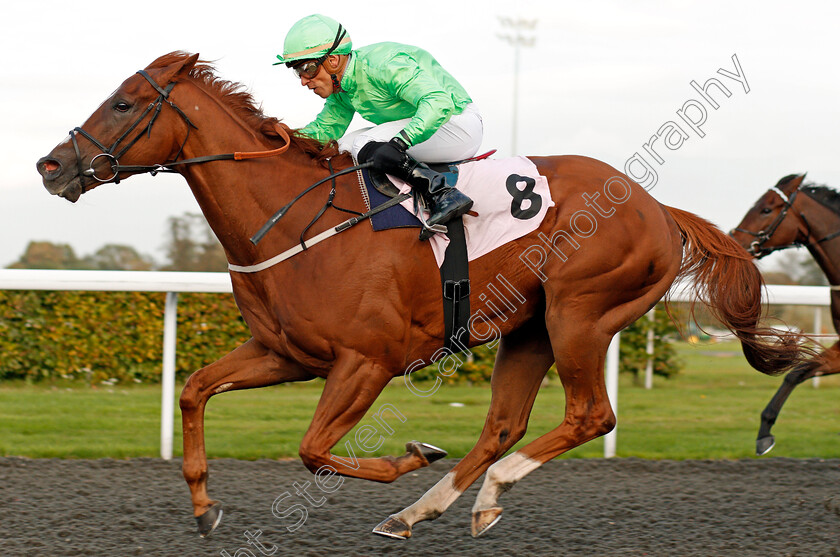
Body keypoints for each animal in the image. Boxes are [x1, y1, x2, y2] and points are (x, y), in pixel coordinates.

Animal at [37, 52, 808, 540]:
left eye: (125, 103)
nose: (50, 165)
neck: (294, 220)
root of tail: (659, 209)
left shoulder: (365, 361)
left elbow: (313, 449)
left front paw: (410, 455)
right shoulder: (284, 352)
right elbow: (196, 389)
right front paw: (203, 504)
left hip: (581, 313)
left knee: (591, 414)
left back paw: (483, 490)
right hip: (530, 327)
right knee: (504, 424)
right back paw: (425, 511)